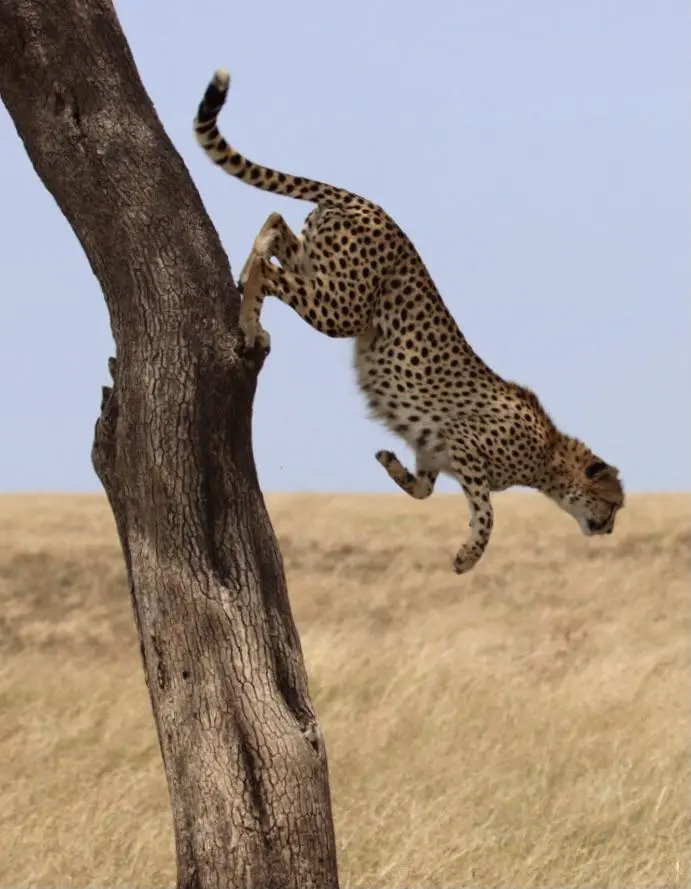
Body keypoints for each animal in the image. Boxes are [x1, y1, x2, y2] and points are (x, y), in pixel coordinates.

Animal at [193, 69, 625, 575]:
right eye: (613, 504)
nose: (610, 529)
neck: (550, 454)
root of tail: (366, 202)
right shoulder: (465, 445)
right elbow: (487, 512)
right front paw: (467, 557)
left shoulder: (433, 454)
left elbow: (422, 490)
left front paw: (387, 461)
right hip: (341, 305)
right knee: (273, 269)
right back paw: (249, 320)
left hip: (326, 269)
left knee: (277, 222)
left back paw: (249, 265)